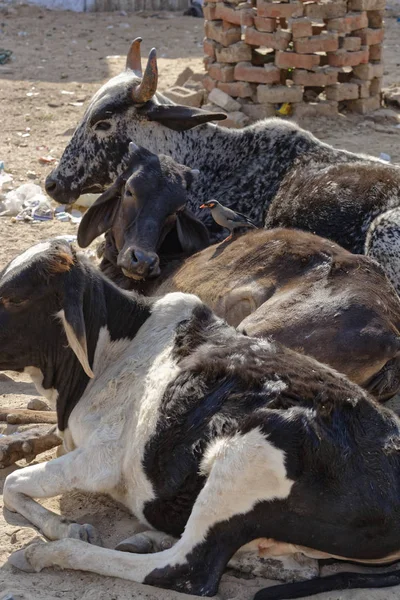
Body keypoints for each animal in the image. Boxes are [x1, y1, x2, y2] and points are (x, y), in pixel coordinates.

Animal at [2, 240, 400, 600]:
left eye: (14, 299)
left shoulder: (101, 459)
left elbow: (11, 483)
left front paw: (67, 530)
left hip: (245, 459)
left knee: (187, 570)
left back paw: (47, 554)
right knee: (291, 564)